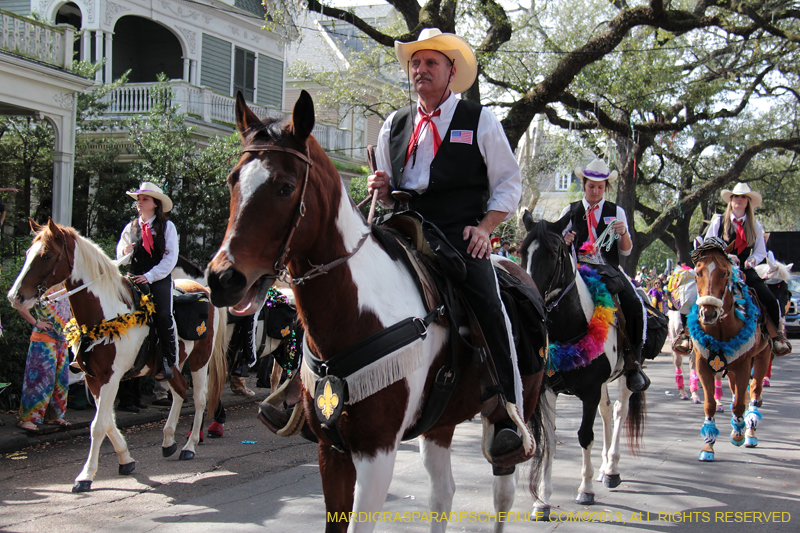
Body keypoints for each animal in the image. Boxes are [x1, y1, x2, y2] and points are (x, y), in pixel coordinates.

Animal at [8, 219, 228, 490]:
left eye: (46, 255)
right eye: (28, 253)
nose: (15, 297)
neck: (105, 312)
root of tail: (203, 289)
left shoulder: (111, 377)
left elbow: (98, 425)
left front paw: (86, 475)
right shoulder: (94, 378)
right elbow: (107, 421)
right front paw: (125, 459)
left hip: (200, 360)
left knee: (198, 398)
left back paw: (190, 446)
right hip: (168, 366)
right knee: (179, 391)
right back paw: (168, 441)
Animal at [203, 91, 548, 532]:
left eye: (284, 187)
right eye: (233, 180)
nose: (222, 278)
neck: (355, 315)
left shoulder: (377, 452)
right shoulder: (332, 451)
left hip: (513, 411)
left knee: (503, 490)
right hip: (440, 422)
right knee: (443, 493)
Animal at [520, 212, 644, 516]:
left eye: (554, 253)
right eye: (522, 251)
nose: (527, 295)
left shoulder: (589, 391)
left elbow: (585, 435)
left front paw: (585, 489)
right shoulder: (549, 391)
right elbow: (550, 440)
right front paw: (543, 500)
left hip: (626, 375)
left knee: (621, 410)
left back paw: (611, 469)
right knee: (607, 412)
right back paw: (603, 468)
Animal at [692, 239, 772, 460]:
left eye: (725, 273)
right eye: (697, 272)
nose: (708, 313)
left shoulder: (744, 365)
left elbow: (739, 404)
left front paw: (738, 434)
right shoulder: (703, 365)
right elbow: (710, 403)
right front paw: (708, 446)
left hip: (761, 358)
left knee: (754, 394)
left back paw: (749, 433)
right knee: (740, 392)